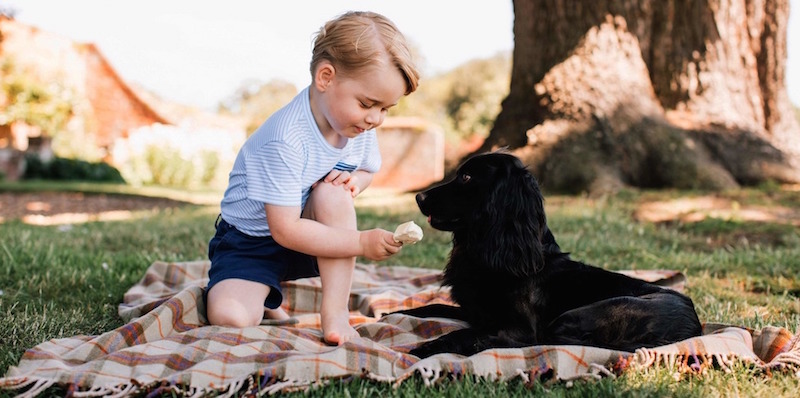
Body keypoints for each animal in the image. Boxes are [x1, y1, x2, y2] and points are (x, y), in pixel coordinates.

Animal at [400, 152, 700, 358]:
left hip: (576, 317)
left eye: (467, 177)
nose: (418, 197)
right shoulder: (475, 311)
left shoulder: (519, 327)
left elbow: (466, 333)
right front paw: (397, 313)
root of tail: (694, 328)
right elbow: (431, 307)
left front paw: (424, 348)